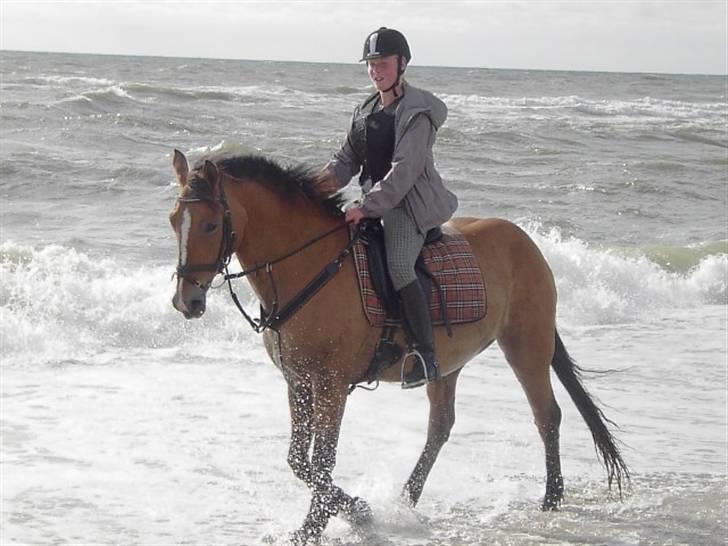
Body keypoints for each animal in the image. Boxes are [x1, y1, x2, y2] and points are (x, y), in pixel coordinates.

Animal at [168, 148, 628, 540]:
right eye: (174, 221)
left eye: (210, 224)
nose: (186, 302)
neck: (309, 266)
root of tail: (526, 241)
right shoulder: (297, 382)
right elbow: (299, 461)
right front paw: (355, 512)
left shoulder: (331, 385)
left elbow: (322, 461)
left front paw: (327, 523)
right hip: (447, 363)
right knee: (440, 427)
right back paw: (406, 500)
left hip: (526, 346)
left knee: (547, 416)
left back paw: (551, 499)